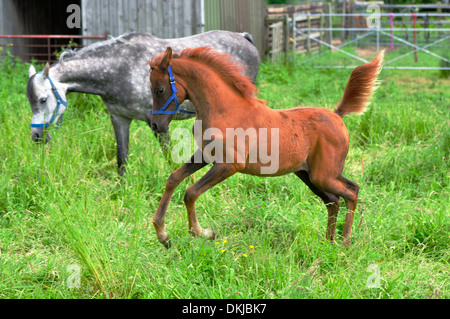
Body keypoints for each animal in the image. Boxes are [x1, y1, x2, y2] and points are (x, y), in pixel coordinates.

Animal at [27, 30, 260, 175]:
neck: (118, 68)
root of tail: (244, 38)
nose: (37, 136)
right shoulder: (119, 118)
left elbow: (169, 155)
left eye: (43, 99)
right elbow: (122, 158)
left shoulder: (156, 122)